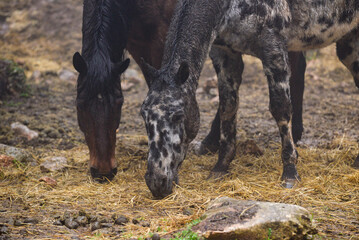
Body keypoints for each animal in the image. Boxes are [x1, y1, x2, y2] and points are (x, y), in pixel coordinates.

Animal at [141, 0, 359, 197]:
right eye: (143, 116)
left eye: (178, 115)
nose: (156, 181)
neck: (229, 6)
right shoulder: (225, 54)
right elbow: (228, 107)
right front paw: (220, 167)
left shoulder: (274, 49)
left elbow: (280, 108)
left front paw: (290, 172)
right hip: (349, 44)